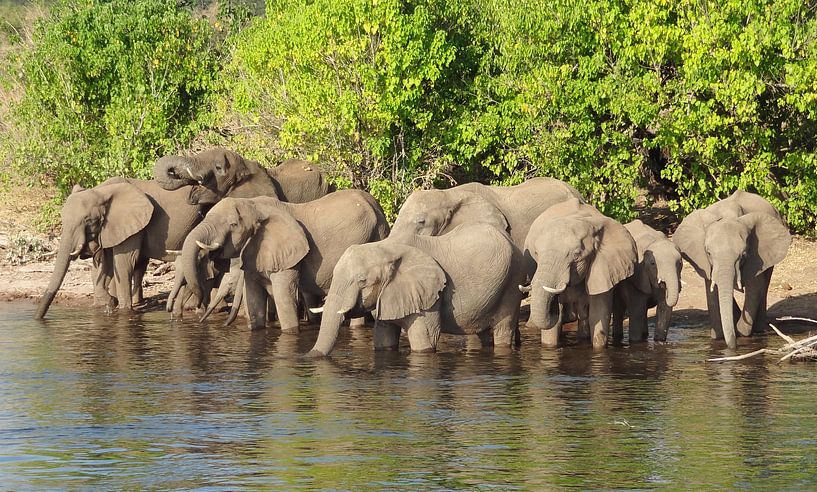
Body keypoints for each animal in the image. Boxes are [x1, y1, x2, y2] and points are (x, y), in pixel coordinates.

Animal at [34, 178, 205, 318]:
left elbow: (123, 263)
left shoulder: (130, 226)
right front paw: (106, 303)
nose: (38, 318)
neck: (101, 191)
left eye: (88, 220)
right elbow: (102, 265)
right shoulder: (109, 229)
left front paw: (123, 310)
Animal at [178, 190, 389, 332]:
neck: (254, 206)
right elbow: (254, 304)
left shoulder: (289, 258)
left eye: (233, 225)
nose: (197, 307)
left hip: (375, 235)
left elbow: (285, 302)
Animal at [307, 223, 525, 357]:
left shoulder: (429, 297)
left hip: (512, 281)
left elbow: (425, 341)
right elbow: (384, 339)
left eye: (362, 281)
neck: (386, 248)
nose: (307, 356)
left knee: (503, 329)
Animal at [672, 190, 791, 349]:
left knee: (764, 286)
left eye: (743, 255)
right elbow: (712, 292)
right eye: (708, 253)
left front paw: (741, 333)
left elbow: (754, 288)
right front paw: (718, 337)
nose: (733, 348)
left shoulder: (757, 256)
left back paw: (758, 329)